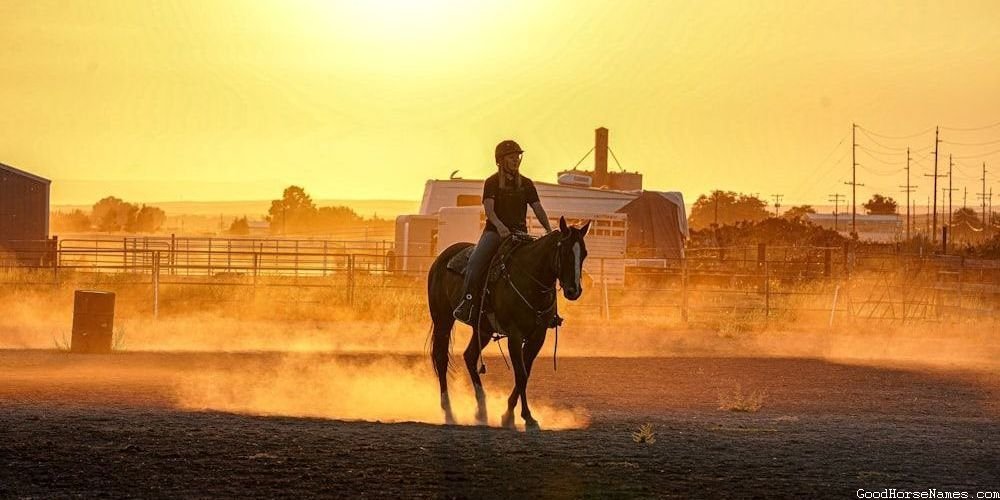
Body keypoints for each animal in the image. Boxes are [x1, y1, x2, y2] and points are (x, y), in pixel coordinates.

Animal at [426, 215, 588, 430]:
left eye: (584, 254)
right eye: (565, 251)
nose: (574, 291)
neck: (530, 279)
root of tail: (441, 258)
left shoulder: (538, 336)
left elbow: (525, 373)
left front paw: (510, 414)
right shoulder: (515, 335)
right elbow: (521, 374)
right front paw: (525, 417)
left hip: (483, 329)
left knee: (470, 356)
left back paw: (482, 411)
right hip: (443, 319)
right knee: (442, 358)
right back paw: (449, 412)